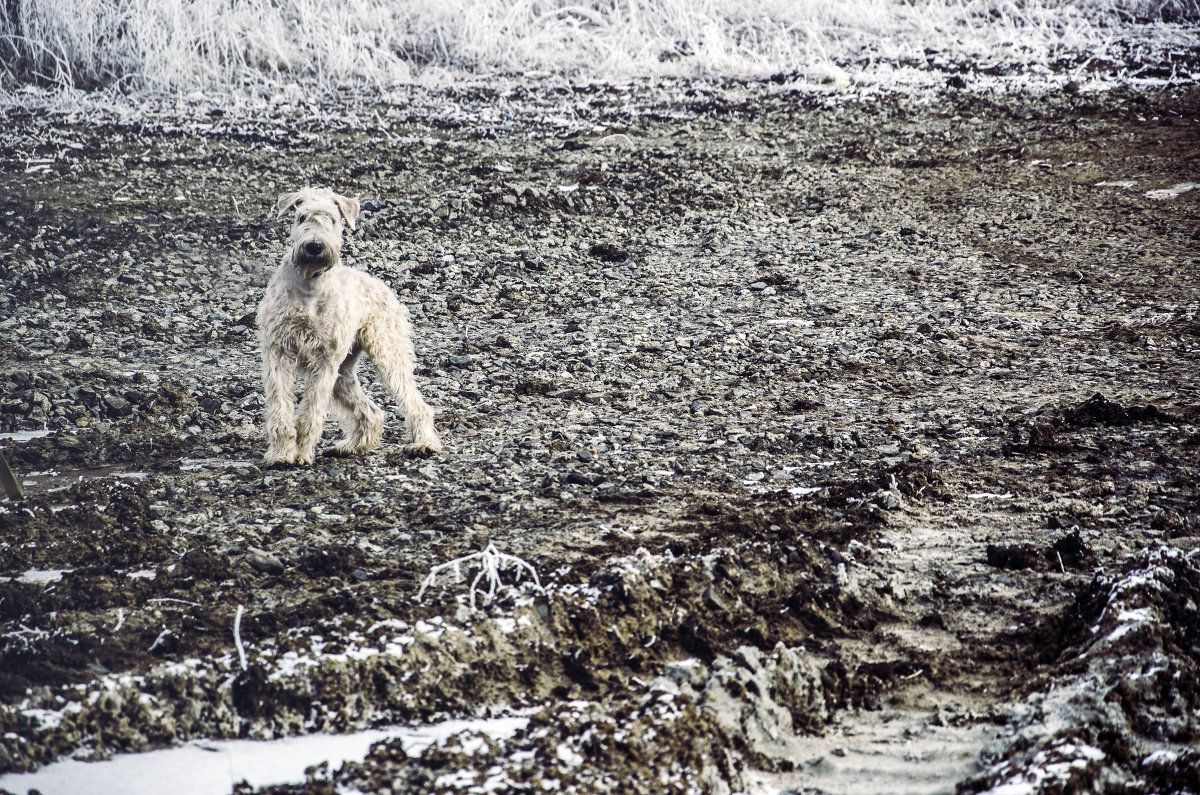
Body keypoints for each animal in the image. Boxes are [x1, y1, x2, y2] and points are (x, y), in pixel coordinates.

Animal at [256, 187, 441, 468]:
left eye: (332, 219)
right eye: (301, 217)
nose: (314, 246)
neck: (309, 285)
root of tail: (381, 285)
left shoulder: (324, 360)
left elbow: (310, 413)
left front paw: (302, 454)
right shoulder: (279, 351)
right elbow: (280, 409)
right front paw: (282, 454)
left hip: (387, 354)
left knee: (416, 404)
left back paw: (424, 444)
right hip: (343, 372)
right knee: (372, 412)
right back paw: (350, 447)